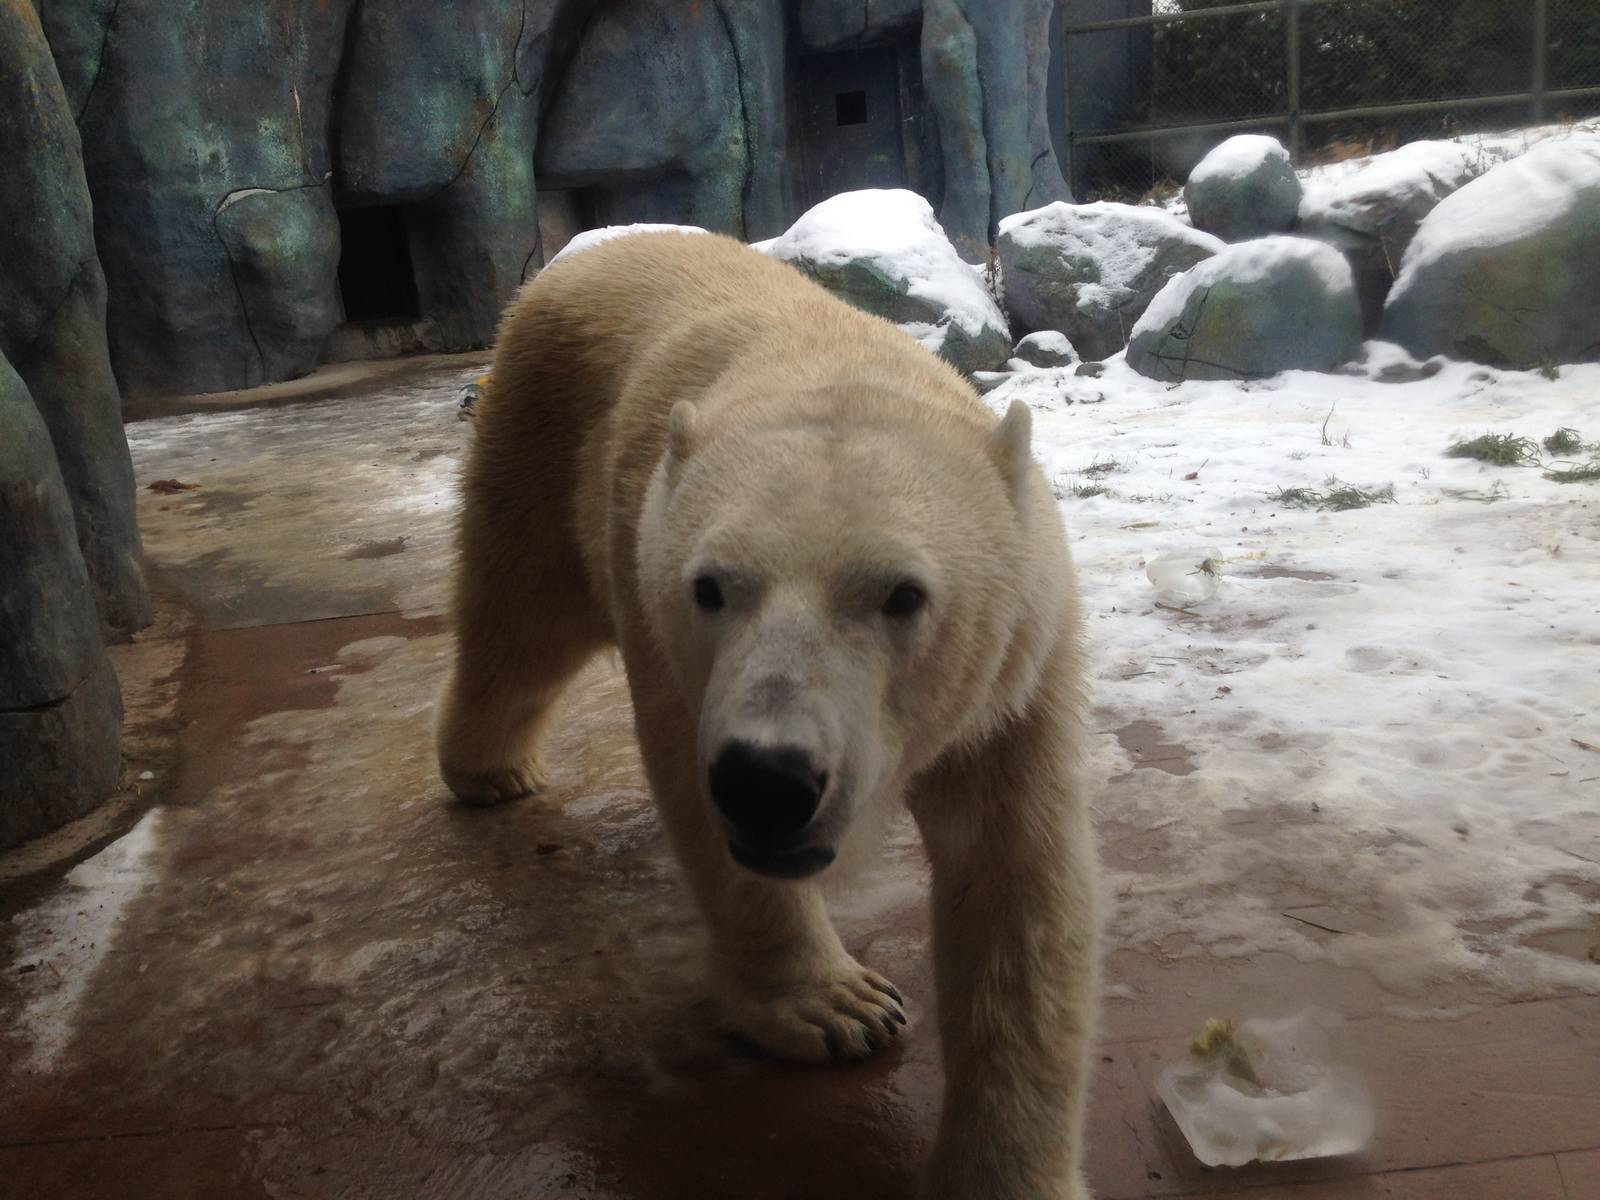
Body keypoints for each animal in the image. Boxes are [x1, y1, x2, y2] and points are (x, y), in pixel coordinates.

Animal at [435, 230, 1099, 1199]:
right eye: (711, 587)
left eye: (904, 595)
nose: (769, 781)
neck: (833, 371)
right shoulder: (660, 612)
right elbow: (696, 797)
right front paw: (840, 1007)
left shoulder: (1014, 675)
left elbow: (1017, 881)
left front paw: (1006, 1171)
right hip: (538, 432)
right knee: (521, 617)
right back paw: (491, 769)